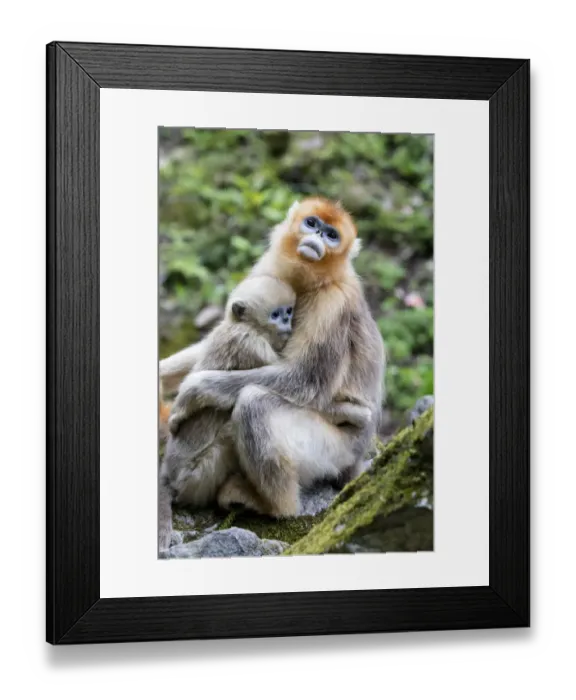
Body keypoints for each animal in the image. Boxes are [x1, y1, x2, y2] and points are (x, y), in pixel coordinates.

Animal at [165, 197, 385, 520]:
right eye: (312, 223)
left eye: (332, 235)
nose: (318, 237)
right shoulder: (270, 266)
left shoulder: (334, 303)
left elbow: (306, 381)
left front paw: (192, 391)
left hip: (336, 450)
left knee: (254, 402)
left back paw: (275, 507)